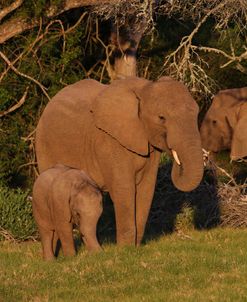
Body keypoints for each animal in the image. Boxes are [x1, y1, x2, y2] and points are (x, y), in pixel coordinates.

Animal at [35, 75, 205, 245]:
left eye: (196, 114)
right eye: (161, 118)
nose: (177, 161)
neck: (143, 90)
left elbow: (146, 189)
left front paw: (136, 247)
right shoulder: (109, 141)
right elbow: (124, 189)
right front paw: (125, 248)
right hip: (44, 146)